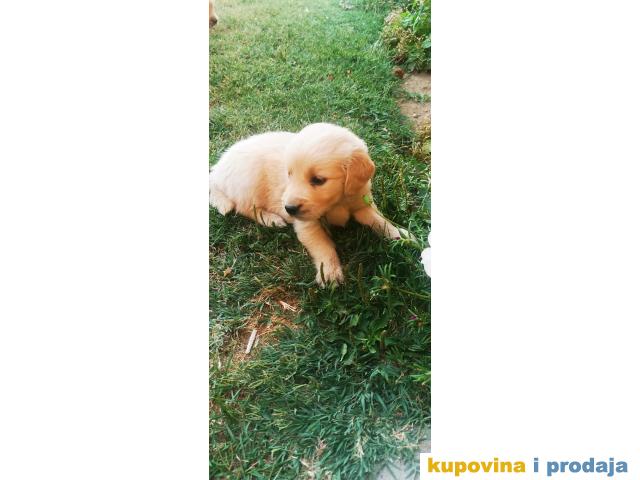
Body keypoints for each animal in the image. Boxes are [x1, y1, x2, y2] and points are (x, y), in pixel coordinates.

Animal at [209, 123, 408, 285]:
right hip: (248, 181)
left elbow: (379, 220)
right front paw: (329, 272)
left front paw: (400, 235)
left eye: (318, 180)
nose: (288, 209)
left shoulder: (362, 203)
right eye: (289, 174)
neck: (337, 202)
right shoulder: (307, 224)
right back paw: (271, 219)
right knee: (244, 207)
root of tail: (216, 171)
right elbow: (322, 244)